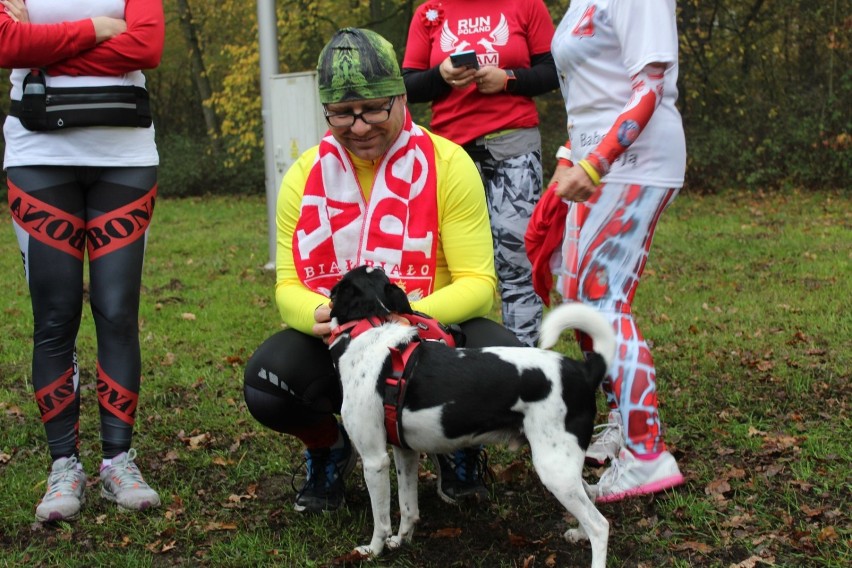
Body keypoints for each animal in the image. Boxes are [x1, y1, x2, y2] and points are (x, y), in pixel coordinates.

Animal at [330, 268, 616, 568]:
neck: (370, 329)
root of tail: (583, 371)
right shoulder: (404, 451)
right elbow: (408, 507)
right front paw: (401, 540)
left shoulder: (375, 459)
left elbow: (381, 520)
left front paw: (373, 550)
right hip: (563, 465)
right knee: (591, 495)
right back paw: (578, 533)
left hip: (554, 469)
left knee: (600, 525)